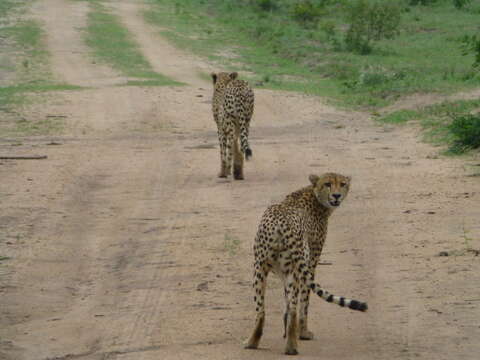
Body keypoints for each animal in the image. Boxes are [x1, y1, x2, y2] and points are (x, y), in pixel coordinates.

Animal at [246, 173, 366, 356]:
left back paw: (253, 342)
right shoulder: (311, 264)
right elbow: (305, 300)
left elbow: (286, 303)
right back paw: (292, 346)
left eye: (342, 184)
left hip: (260, 268)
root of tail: (280, 222)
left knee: (262, 310)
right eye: (328, 184)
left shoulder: (283, 272)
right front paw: (303, 333)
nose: (337, 195)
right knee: (295, 308)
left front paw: (287, 331)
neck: (314, 195)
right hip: (295, 269)